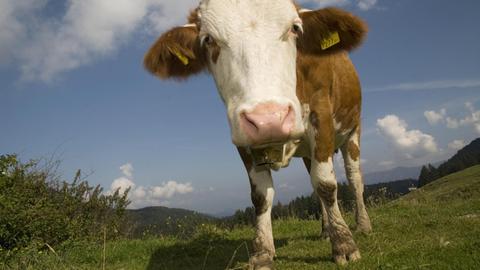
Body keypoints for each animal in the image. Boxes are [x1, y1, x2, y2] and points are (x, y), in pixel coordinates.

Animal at [142, 0, 372, 266]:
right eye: (208, 39)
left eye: (295, 28)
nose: (269, 119)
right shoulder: (242, 136)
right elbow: (262, 195)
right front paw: (262, 252)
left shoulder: (321, 114)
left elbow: (326, 183)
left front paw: (344, 244)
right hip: (306, 151)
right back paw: (325, 230)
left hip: (353, 128)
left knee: (354, 176)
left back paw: (363, 225)